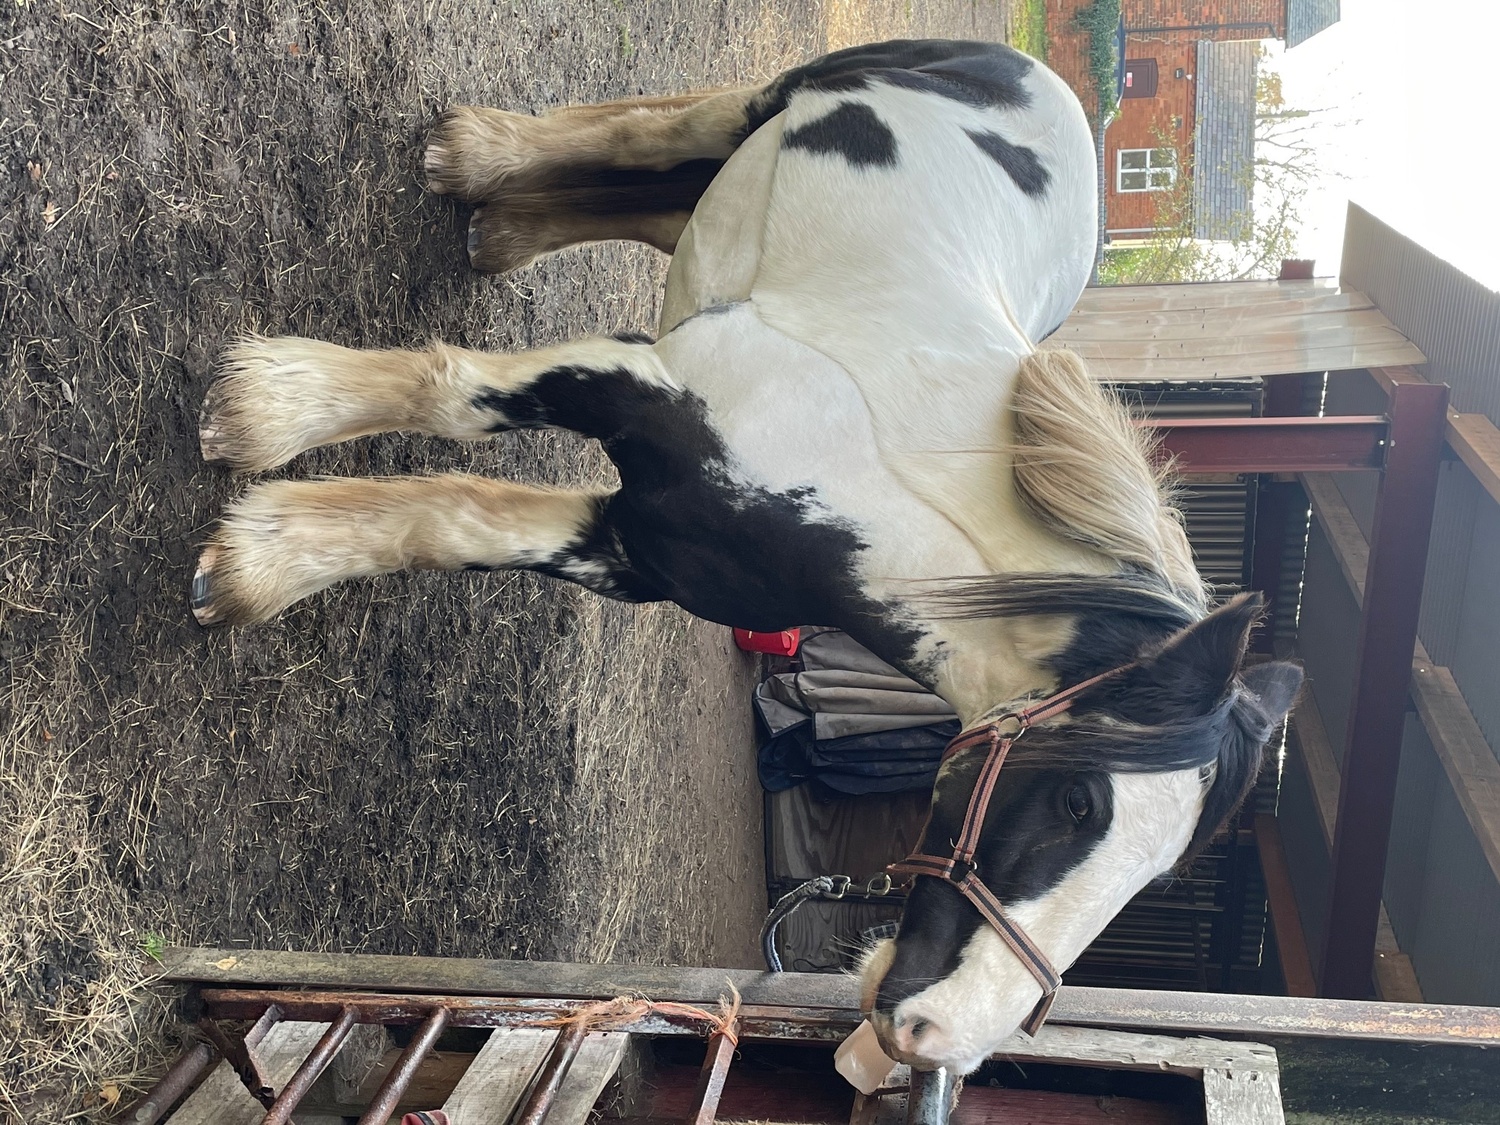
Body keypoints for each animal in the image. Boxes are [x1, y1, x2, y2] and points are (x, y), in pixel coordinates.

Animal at [190, 40, 1303, 1074]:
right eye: (1081, 801)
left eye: (1159, 876)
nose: (937, 1039)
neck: (869, 483)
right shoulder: (635, 383)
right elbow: (456, 401)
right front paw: (265, 412)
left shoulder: (639, 551)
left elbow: (457, 525)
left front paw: (257, 562)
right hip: (774, 98)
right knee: (651, 134)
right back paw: (471, 156)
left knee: (656, 201)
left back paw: (493, 226)